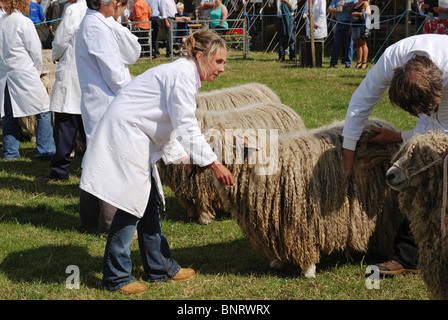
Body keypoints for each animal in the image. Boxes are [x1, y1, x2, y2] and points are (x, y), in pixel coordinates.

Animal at [213, 117, 402, 278]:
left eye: (232, 146)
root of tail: (385, 125)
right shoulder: (275, 221)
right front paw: (277, 261)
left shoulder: (302, 218)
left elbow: (305, 242)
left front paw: (308, 270)